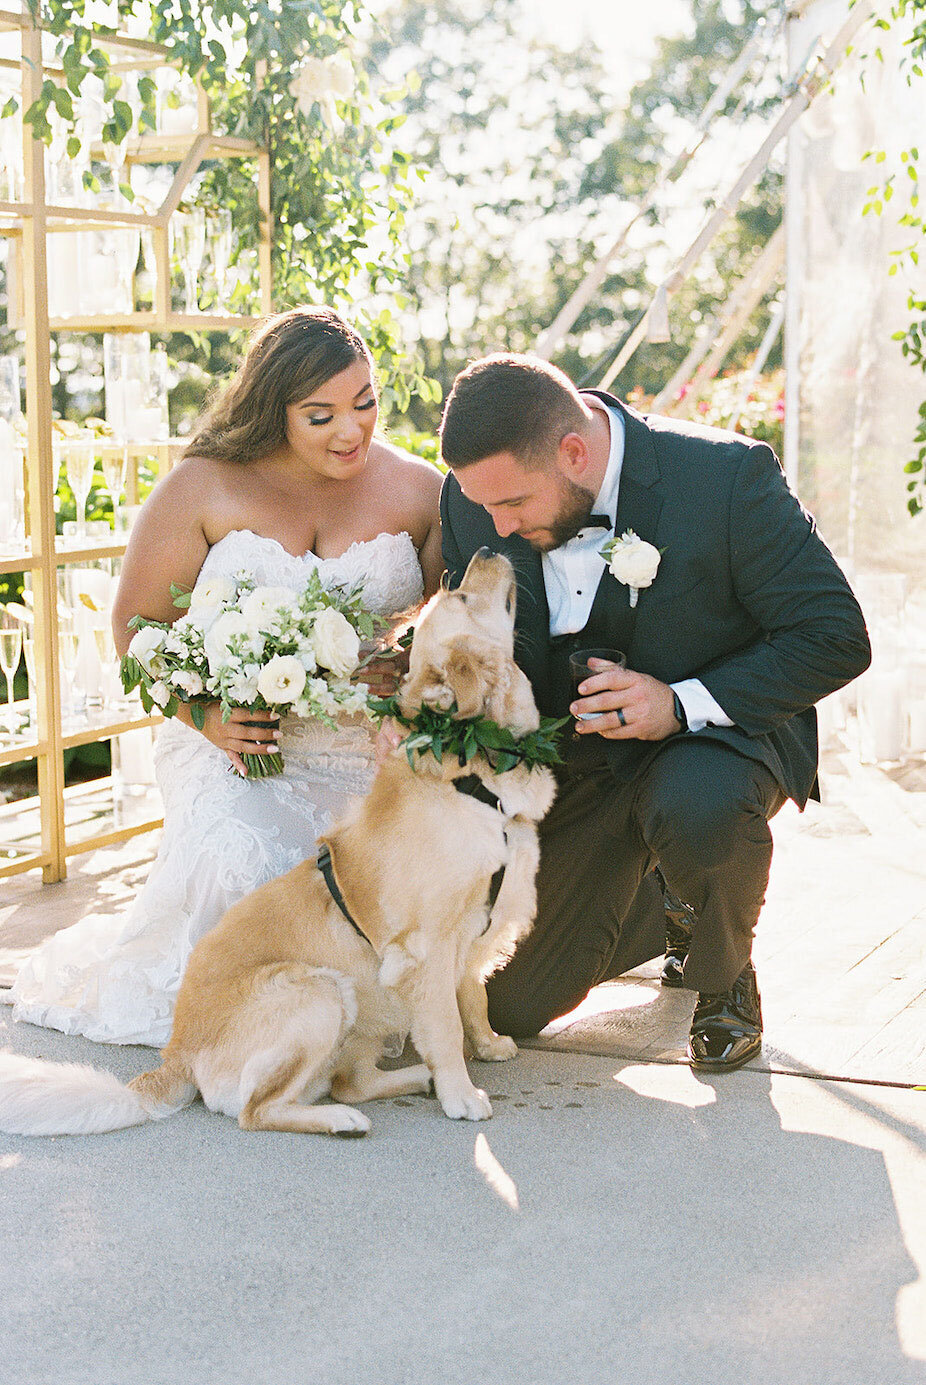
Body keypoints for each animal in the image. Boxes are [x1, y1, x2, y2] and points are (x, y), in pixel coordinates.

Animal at [0, 545, 553, 1141]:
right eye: (464, 597)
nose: (487, 549)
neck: (472, 777)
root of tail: (174, 1056)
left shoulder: (477, 926)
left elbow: (473, 993)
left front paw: (488, 1044)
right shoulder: (425, 945)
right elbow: (447, 1026)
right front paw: (460, 1093)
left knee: (347, 1080)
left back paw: (402, 1083)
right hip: (320, 991)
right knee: (257, 1111)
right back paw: (343, 1118)